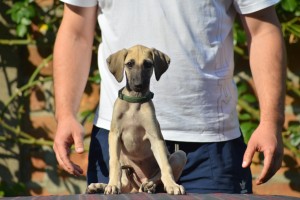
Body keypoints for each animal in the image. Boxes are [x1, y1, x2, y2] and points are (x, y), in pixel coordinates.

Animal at [85, 45, 186, 194]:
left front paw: (172, 185)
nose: (138, 85)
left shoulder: (155, 137)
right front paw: (112, 185)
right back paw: (99, 186)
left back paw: (150, 186)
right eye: (129, 64)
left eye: (148, 64)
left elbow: (165, 165)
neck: (135, 102)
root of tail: (135, 187)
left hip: (180, 154)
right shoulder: (114, 135)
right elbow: (114, 163)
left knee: (156, 177)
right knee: (124, 183)